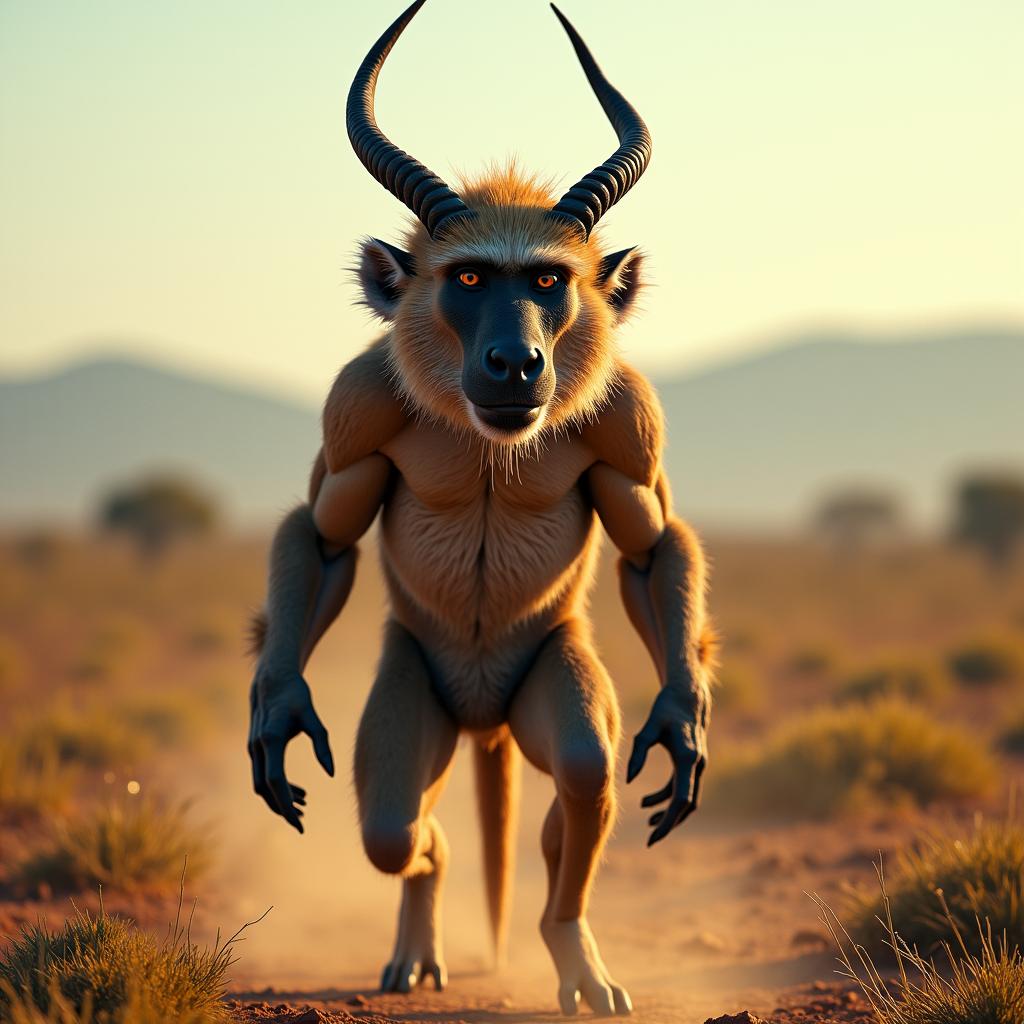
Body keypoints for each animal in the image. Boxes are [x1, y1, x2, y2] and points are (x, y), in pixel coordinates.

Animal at [247, 2, 715, 1017]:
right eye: (466, 278)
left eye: (547, 280)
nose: (515, 365)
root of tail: (482, 712)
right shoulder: (357, 409)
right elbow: (323, 538)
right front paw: (277, 716)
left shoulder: (629, 423)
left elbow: (650, 549)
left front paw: (682, 726)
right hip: (411, 699)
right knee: (400, 831)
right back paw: (417, 954)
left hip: (550, 680)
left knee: (579, 780)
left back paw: (579, 967)